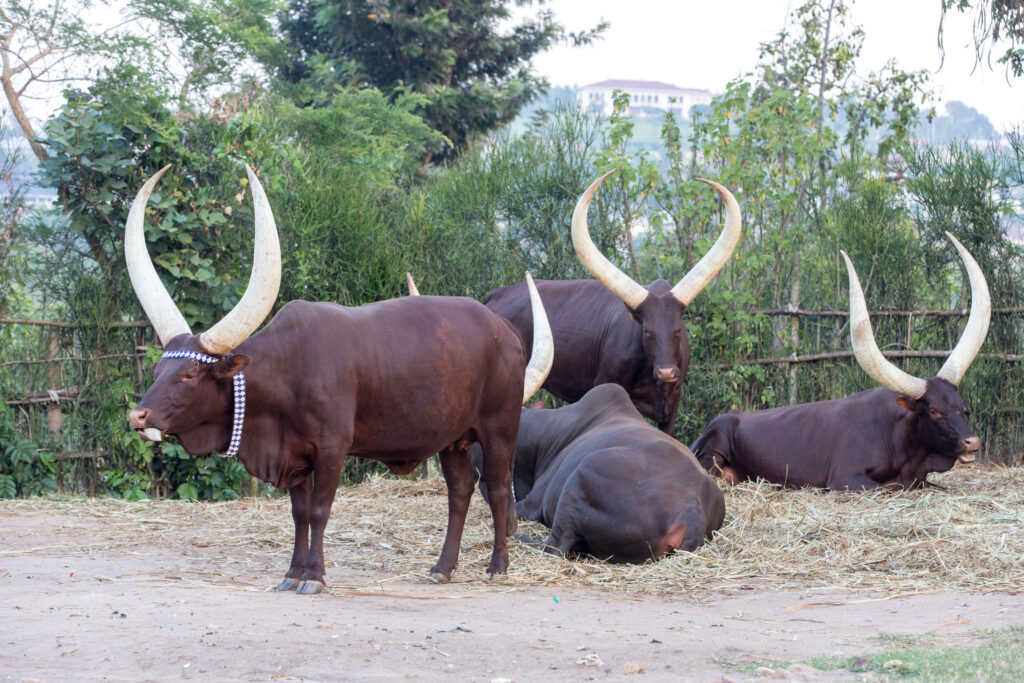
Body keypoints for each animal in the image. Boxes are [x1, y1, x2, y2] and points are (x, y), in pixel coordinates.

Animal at [125, 165, 553, 594]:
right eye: (157, 371)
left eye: (190, 374)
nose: (137, 417)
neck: (288, 371)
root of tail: (505, 330)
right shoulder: (295, 457)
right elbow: (298, 514)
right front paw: (292, 574)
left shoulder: (332, 449)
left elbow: (319, 510)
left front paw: (314, 576)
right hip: (452, 439)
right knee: (460, 491)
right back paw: (442, 568)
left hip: (499, 428)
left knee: (496, 490)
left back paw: (498, 566)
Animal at [691, 233, 990, 491]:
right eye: (935, 411)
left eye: (962, 408)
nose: (972, 441)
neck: (899, 435)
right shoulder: (846, 479)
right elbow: (888, 487)